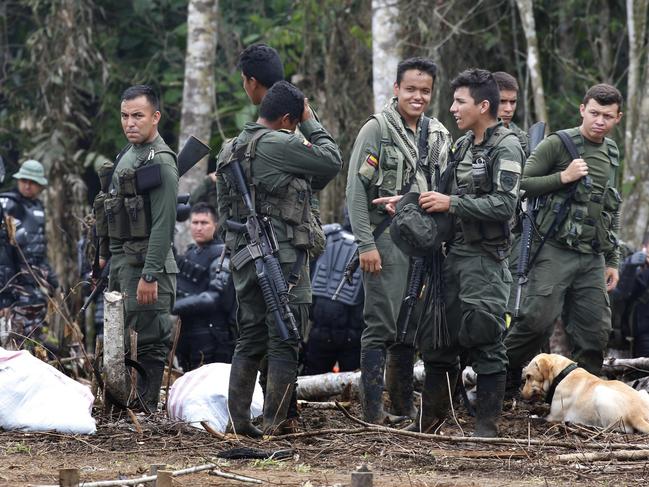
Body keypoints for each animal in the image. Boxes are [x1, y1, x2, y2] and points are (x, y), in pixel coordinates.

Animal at [520, 352, 648, 432]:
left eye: (528, 376)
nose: (521, 394)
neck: (562, 375)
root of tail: (637, 414)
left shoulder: (553, 417)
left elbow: (535, 418)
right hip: (643, 392)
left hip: (601, 393)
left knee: (620, 429)